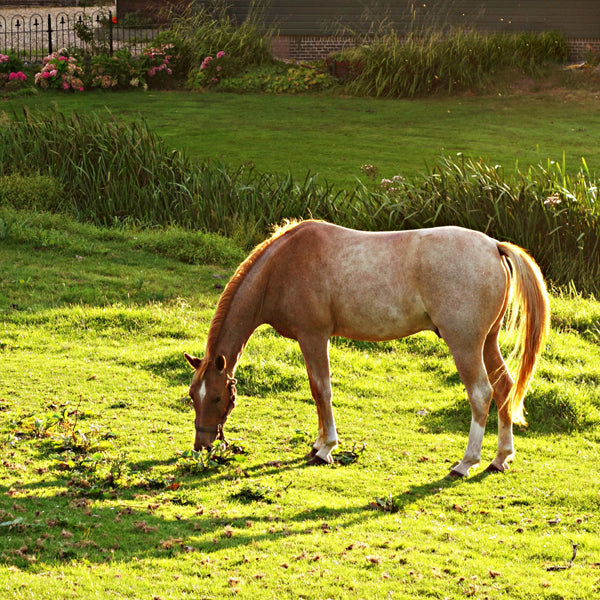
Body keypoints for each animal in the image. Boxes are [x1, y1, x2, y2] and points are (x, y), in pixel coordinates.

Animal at [185, 220, 552, 478]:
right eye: (193, 396)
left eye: (217, 397)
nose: (202, 446)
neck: (283, 266)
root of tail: (493, 246)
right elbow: (318, 392)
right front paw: (319, 443)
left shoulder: (313, 337)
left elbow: (321, 390)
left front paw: (326, 448)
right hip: (487, 342)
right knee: (504, 388)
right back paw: (500, 458)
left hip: (465, 345)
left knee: (481, 394)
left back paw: (465, 463)